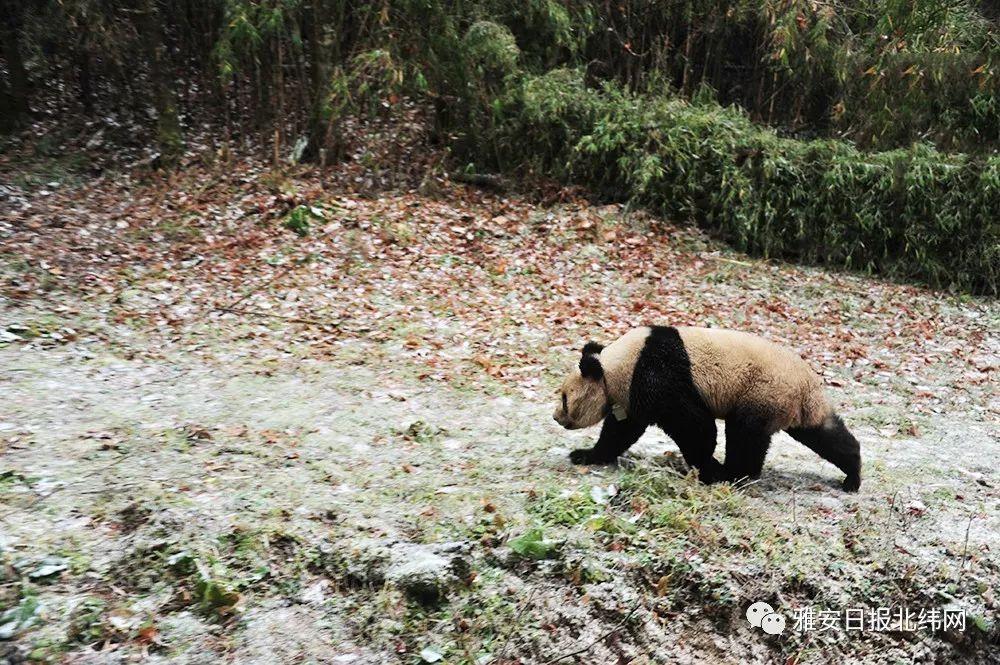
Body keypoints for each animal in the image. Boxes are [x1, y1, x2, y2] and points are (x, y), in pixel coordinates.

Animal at [552, 324, 864, 490]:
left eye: (565, 397)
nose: (556, 417)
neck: (614, 365)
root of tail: (806, 386)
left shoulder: (656, 375)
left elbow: (693, 425)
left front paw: (707, 469)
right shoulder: (631, 393)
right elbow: (621, 430)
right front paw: (586, 454)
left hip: (762, 390)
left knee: (745, 434)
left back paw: (734, 474)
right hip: (791, 405)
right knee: (823, 433)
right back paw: (852, 474)